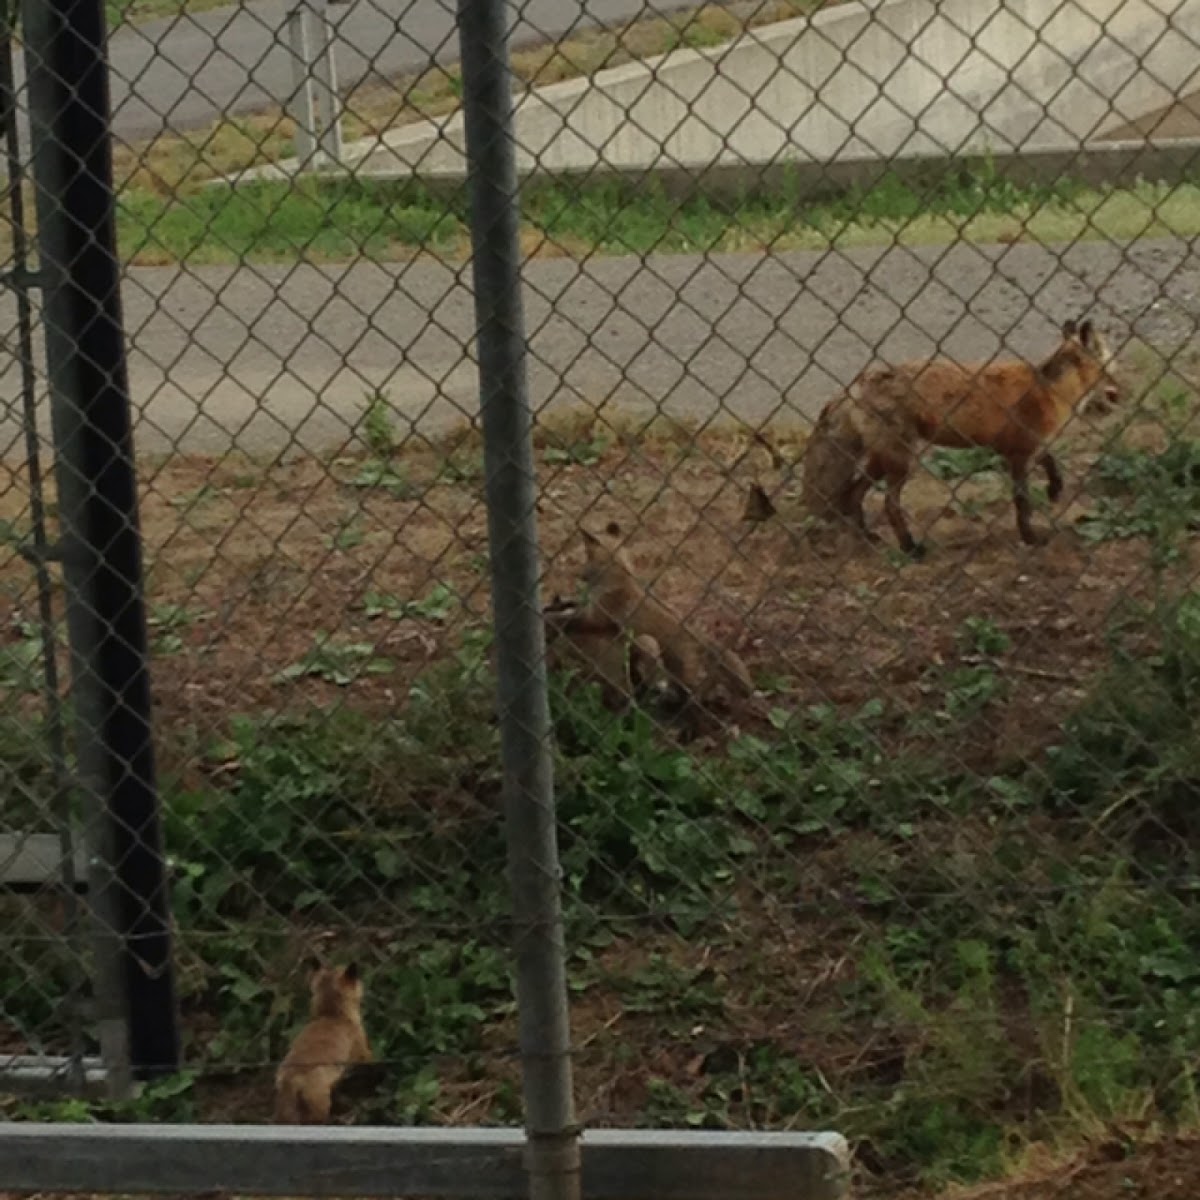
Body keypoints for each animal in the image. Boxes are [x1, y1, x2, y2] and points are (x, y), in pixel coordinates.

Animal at [801, 316, 1118, 554]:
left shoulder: (1029, 446)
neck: (1050, 389)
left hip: (883, 459)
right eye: (1109, 359)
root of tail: (858, 382)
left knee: (853, 494)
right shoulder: (1017, 454)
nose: (1119, 387)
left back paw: (869, 538)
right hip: (904, 461)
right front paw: (1029, 538)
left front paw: (1055, 488)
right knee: (888, 503)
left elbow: (1051, 462)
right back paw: (910, 548)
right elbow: (1023, 504)